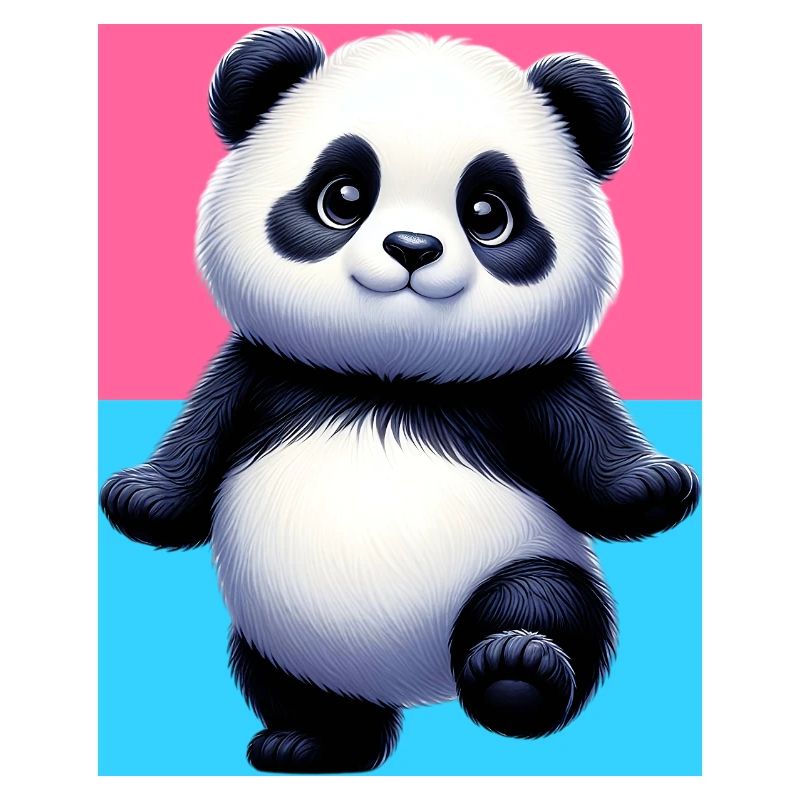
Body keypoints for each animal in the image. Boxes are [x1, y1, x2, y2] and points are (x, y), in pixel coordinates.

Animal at [101, 28, 700, 774]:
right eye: (343, 197)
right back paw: (310, 742)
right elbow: (198, 441)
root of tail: (419, 682)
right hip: (278, 630)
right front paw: (140, 497)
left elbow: (593, 457)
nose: (412, 247)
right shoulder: (262, 370)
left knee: (543, 603)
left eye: (488, 215)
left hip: (524, 562)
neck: (390, 382)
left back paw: (517, 672)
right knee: (293, 683)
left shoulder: (529, 383)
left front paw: (653, 485)